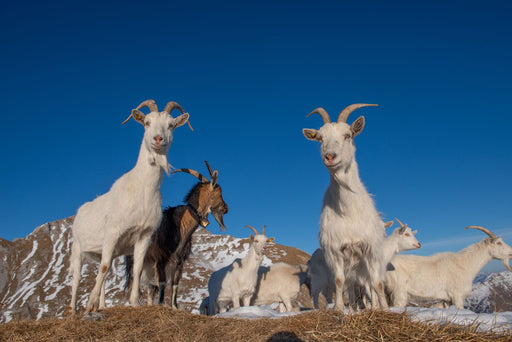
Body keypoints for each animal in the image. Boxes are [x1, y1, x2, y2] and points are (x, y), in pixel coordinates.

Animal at [124, 162, 228, 308]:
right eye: (220, 193)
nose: (226, 208)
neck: (181, 225)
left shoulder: (179, 261)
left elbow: (175, 284)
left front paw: (174, 306)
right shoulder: (161, 258)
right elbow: (162, 283)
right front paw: (161, 304)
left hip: (149, 265)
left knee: (150, 287)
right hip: (136, 259)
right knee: (134, 279)